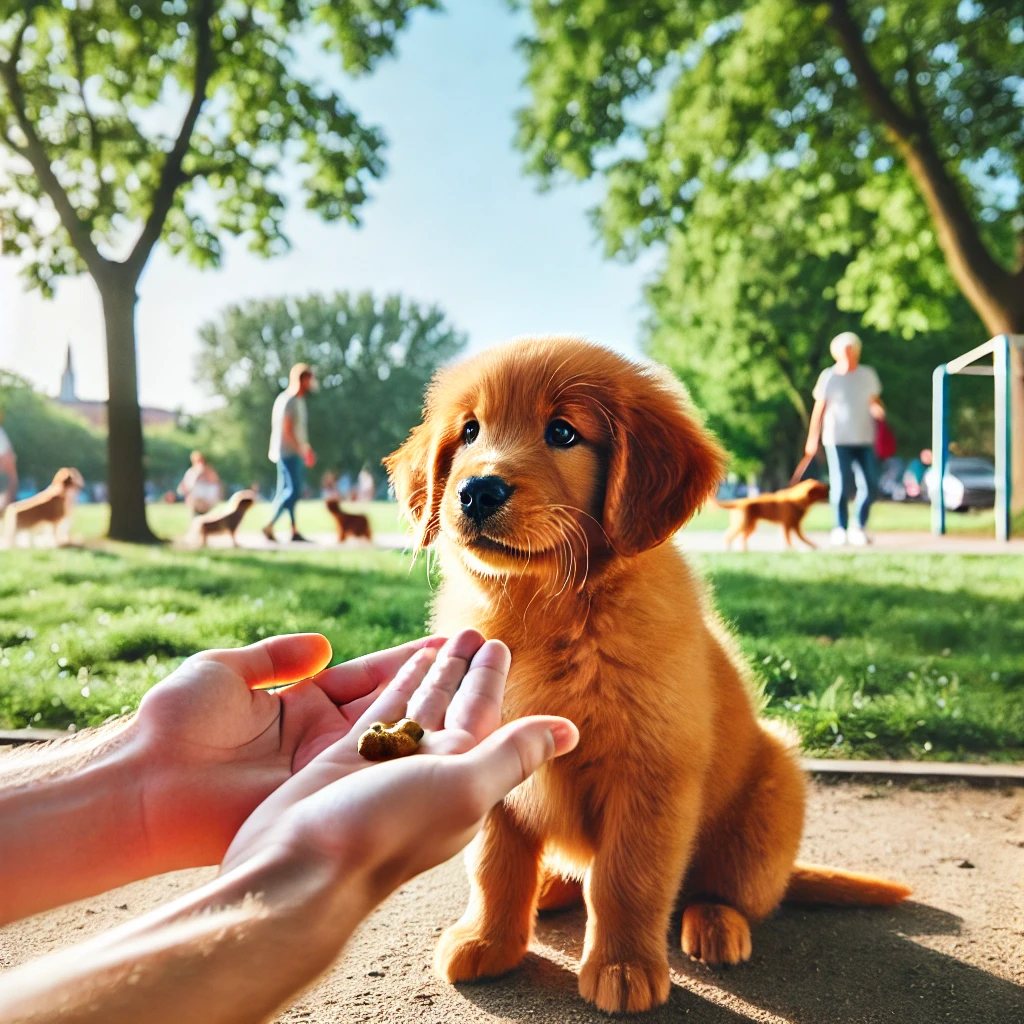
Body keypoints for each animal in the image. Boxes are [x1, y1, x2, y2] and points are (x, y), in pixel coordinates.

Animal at [385, 335, 913, 1015]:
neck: (549, 612)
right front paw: (489, 942)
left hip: (773, 792)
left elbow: (626, 880)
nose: (476, 491)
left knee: (720, 888)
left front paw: (622, 967)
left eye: (563, 432)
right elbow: (495, 866)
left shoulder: (650, 772)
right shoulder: (490, 762)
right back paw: (551, 889)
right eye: (470, 430)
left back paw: (715, 925)